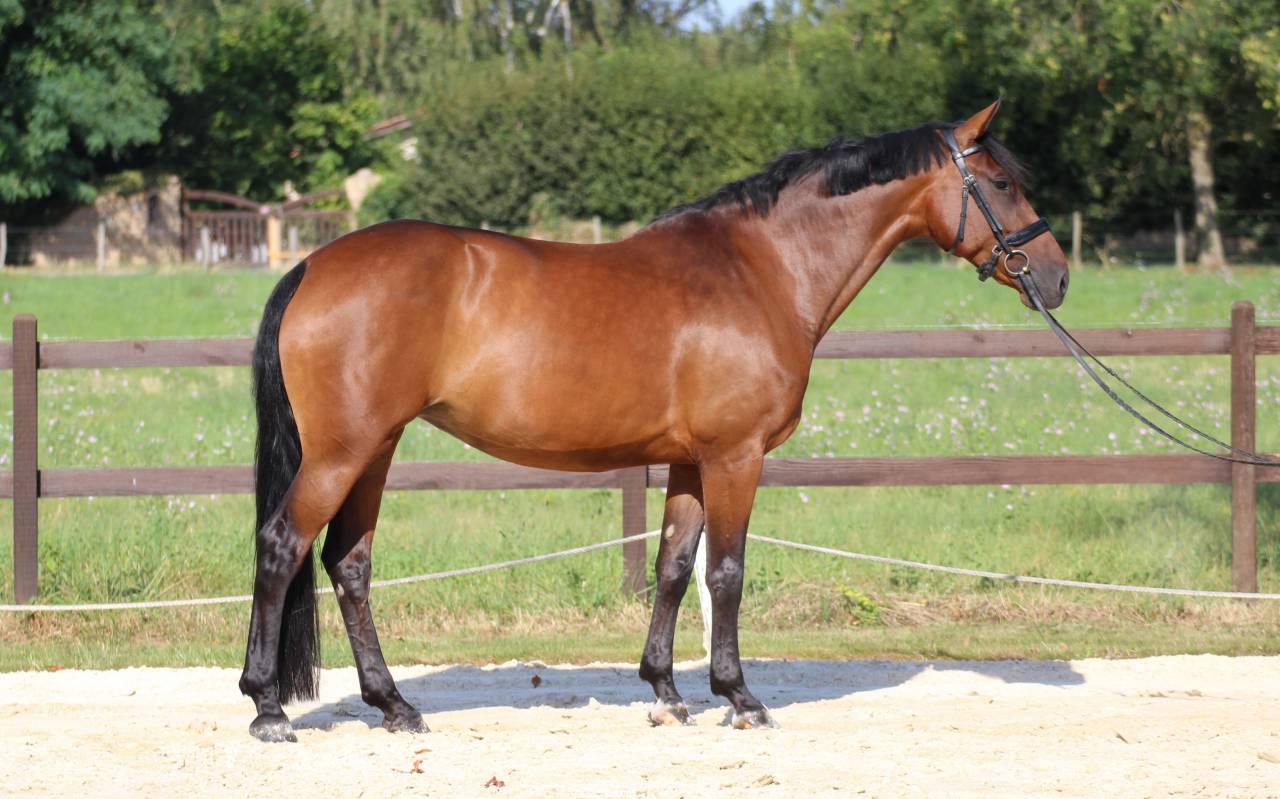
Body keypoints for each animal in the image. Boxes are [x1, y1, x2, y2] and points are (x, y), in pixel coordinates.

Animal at [239, 100, 1069, 741]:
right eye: (1000, 182)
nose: (1057, 275)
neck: (759, 269)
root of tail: (312, 265)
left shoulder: (688, 460)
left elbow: (673, 567)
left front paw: (667, 693)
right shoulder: (736, 455)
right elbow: (727, 571)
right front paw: (740, 696)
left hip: (374, 448)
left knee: (348, 563)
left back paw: (394, 704)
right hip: (341, 452)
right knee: (282, 546)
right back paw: (269, 706)